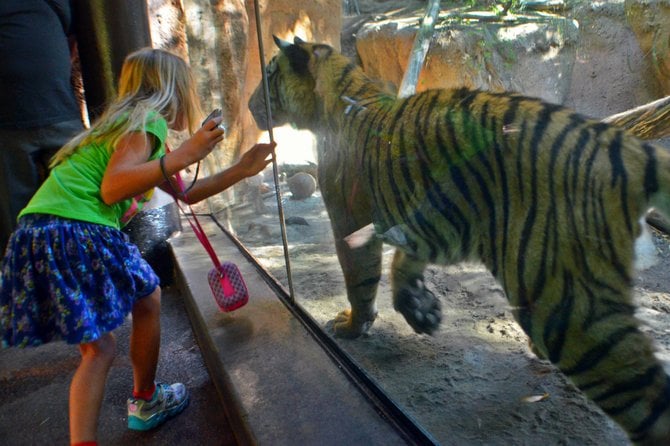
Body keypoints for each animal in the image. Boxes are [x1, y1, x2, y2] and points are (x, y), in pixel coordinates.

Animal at [249, 36, 670, 444]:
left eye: (269, 76)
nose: (251, 107)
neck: (345, 88)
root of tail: (624, 149)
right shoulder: (437, 216)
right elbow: (406, 257)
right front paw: (421, 309)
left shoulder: (351, 220)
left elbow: (360, 280)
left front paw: (355, 325)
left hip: (566, 305)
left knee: (643, 393)